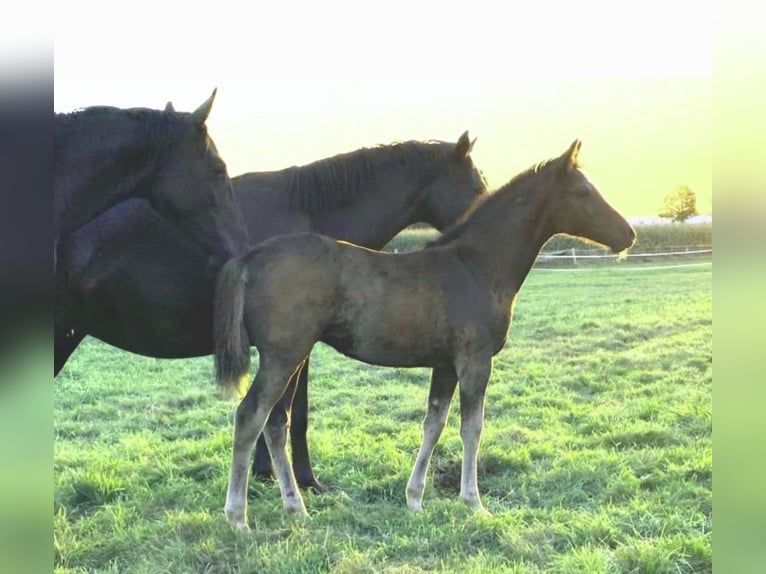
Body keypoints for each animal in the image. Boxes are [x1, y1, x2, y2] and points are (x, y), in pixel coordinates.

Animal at [55, 132, 487, 491]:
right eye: (479, 186)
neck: (311, 218)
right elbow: (283, 413)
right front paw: (300, 480)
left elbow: (286, 412)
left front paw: (269, 474)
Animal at [212, 140, 636, 532]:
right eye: (583, 192)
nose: (629, 235)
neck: (475, 265)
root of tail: (252, 257)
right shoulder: (475, 362)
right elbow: (472, 427)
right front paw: (473, 502)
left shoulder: (445, 365)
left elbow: (434, 423)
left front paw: (415, 499)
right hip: (284, 356)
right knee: (250, 416)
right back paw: (238, 517)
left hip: (291, 357)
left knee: (275, 423)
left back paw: (295, 507)